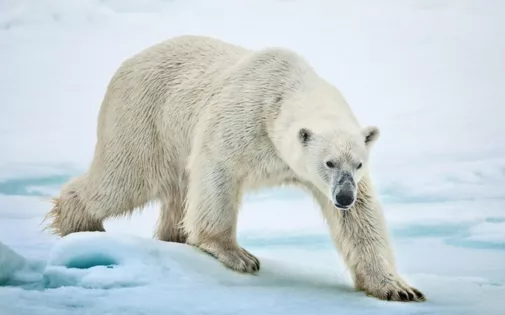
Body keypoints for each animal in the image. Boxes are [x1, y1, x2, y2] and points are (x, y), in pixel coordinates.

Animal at [44, 35, 426, 304]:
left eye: (358, 163)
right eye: (328, 162)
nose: (344, 197)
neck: (285, 91)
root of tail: (127, 63)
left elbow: (362, 219)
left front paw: (399, 288)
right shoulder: (242, 120)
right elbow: (217, 173)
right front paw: (238, 255)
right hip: (145, 117)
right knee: (126, 178)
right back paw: (82, 227)